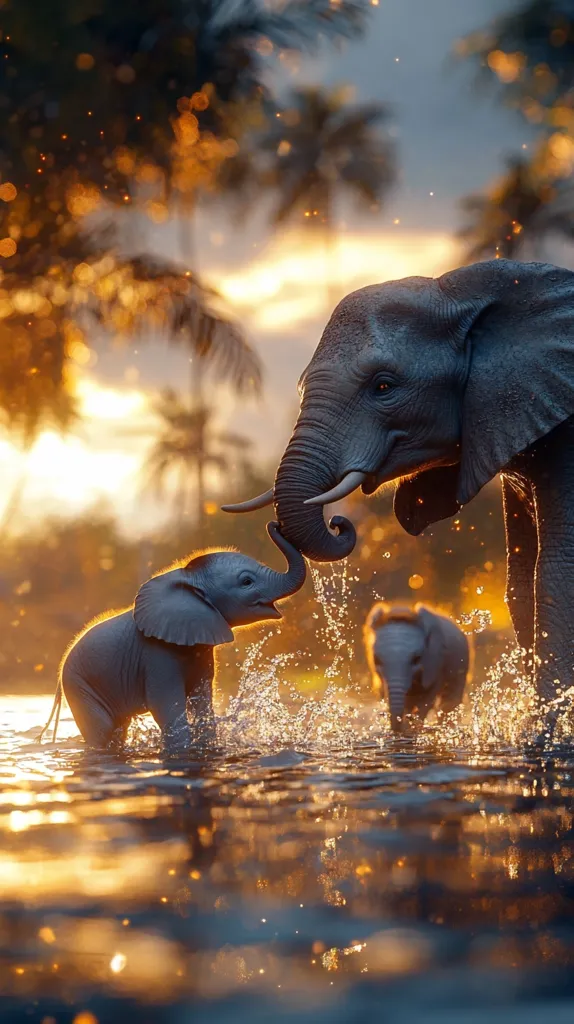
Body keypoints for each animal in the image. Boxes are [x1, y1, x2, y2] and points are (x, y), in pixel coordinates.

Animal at [40, 522, 305, 753]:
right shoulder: (156, 655)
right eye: (247, 581)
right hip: (80, 686)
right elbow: (166, 707)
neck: (187, 579)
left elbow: (202, 704)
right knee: (103, 730)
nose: (275, 524)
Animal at [365, 602, 469, 734]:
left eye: (417, 659)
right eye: (376, 659)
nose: (397, 731)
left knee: (449, 701)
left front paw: (413, 730)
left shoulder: (436, 662)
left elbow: (426, 700)